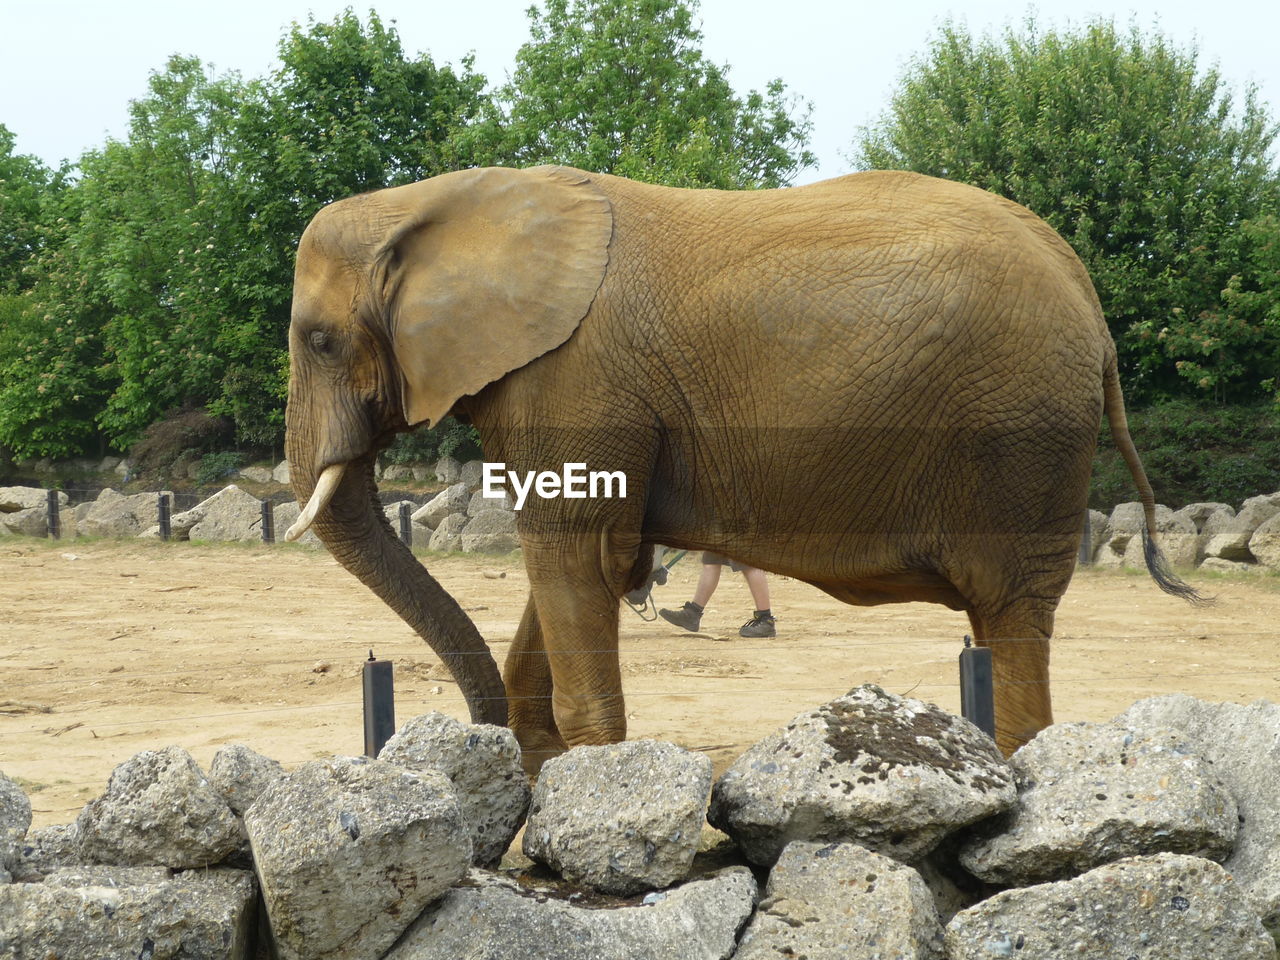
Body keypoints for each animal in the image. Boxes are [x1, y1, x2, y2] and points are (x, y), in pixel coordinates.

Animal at [285, 163, 1203, 768]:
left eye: (319, 341)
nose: (481, 733)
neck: (429, 201)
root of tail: (1088, 296)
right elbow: (583, 556)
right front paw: (539, 767)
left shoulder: (572, 378)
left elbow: (571, 550)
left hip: (1022, 437)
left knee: (1013, 616)